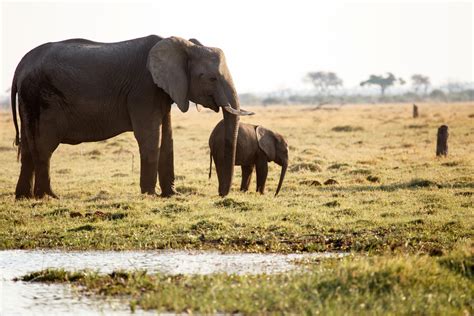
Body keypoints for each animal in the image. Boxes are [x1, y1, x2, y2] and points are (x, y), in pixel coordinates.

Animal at [11, 35, 252, 199]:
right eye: (212, 78)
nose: (221, 194)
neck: (183, 45)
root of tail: (21, 65)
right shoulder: (144, 89)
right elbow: (150, 137)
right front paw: (150, 195)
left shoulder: (163, 91)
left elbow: (167, 138)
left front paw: (171, 195)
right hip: (43, 97)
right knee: (44, 145)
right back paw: (49, 196)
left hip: (29, 100)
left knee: (28, 147)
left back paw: (24, 197)